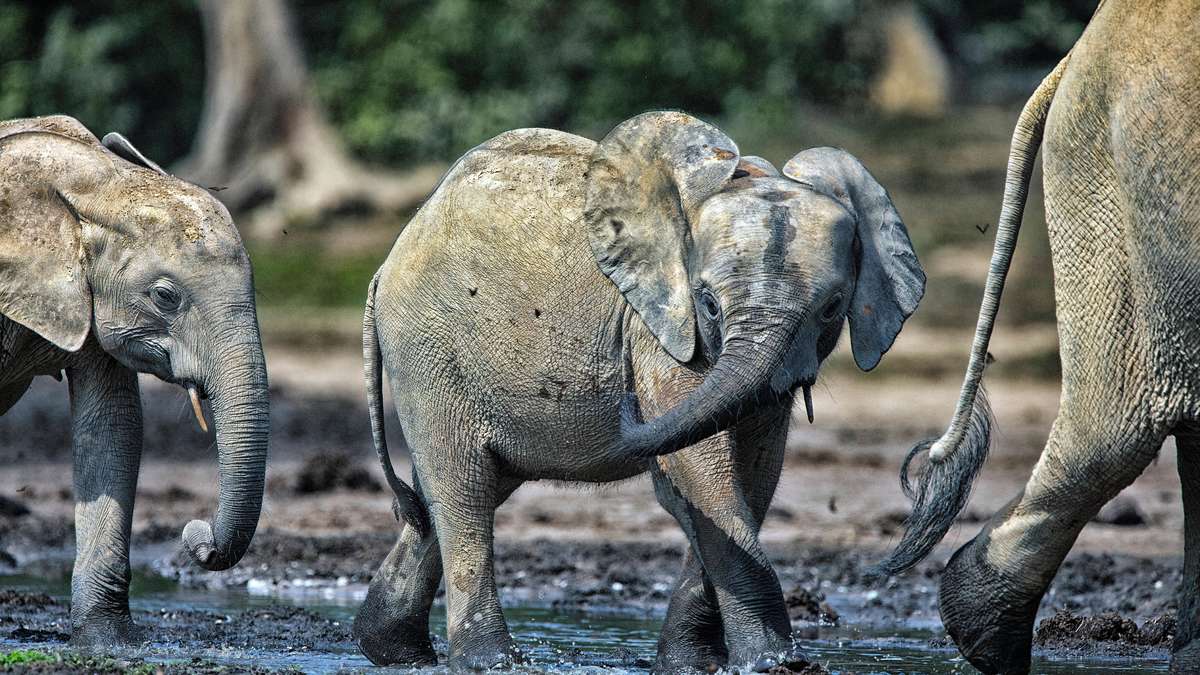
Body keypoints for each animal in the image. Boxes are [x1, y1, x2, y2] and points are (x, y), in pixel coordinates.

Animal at [351, 110, 925, 671]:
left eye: (831, 308)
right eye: (707, 303)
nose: (622, 394)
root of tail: (386, 264)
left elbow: (754, 471)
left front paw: (692, 664)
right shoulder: (659, 329)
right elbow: (702, 468)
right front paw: (775, 665)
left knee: (455, 491)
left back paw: (392, 651)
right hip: (428, 352)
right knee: (463, 488)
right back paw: (490, 662)